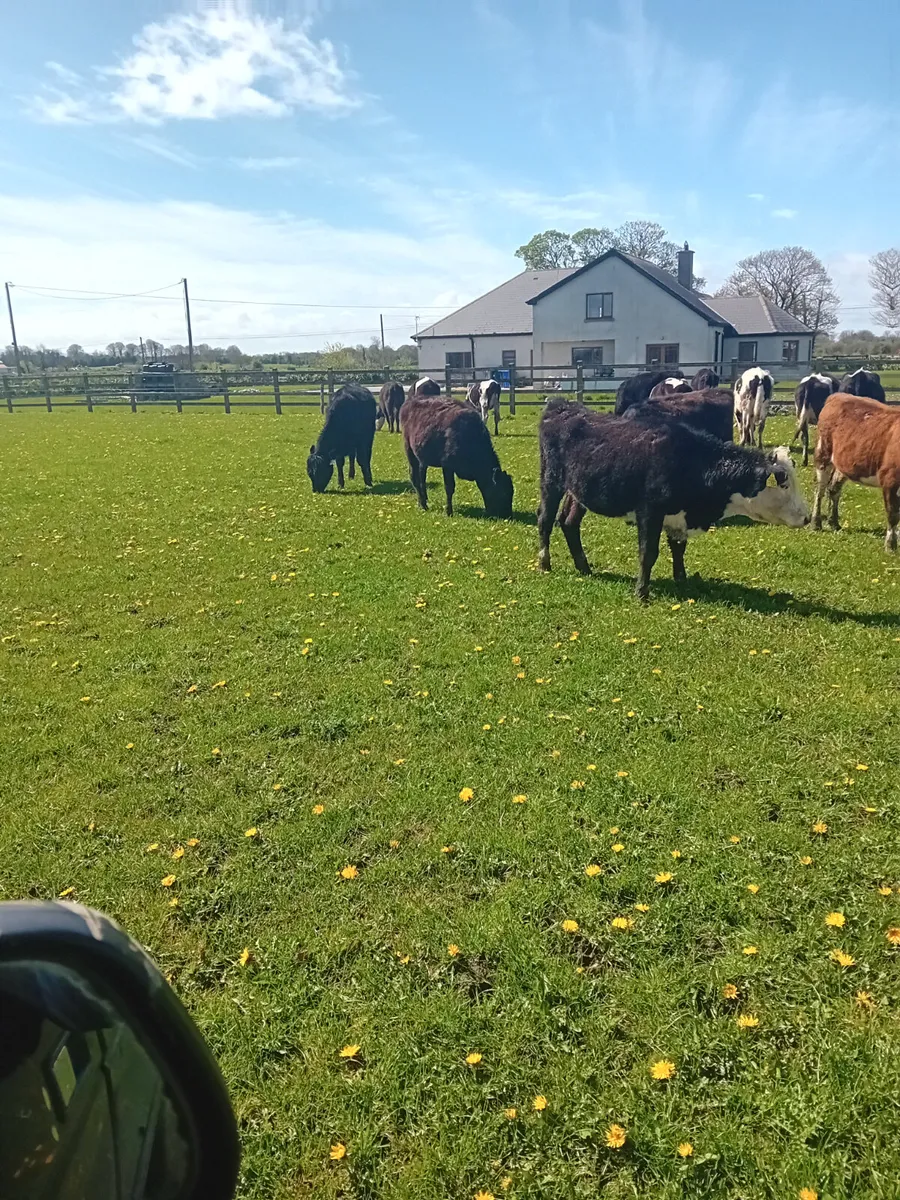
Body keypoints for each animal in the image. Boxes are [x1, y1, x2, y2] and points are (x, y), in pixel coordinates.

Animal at [816, 396, 900, 549]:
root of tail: (838, 396)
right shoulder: (890, 479)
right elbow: (893, 514)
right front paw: (890, 545)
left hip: (844, 464)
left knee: (833, 489)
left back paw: (834, 522)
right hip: (823, 454)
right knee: (820, 490)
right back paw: (816, 523)